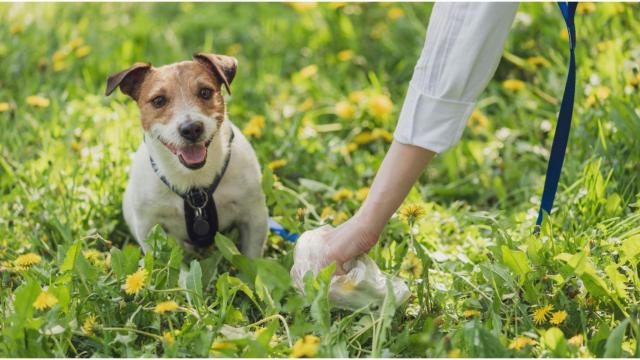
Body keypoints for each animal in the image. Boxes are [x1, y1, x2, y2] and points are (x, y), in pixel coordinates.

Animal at [105, 52, 268, 258]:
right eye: (158, 100)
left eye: (205, 92)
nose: (191, 129)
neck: (194, 183)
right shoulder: (149, 228)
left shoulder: (254, 216)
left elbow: (251, 258)